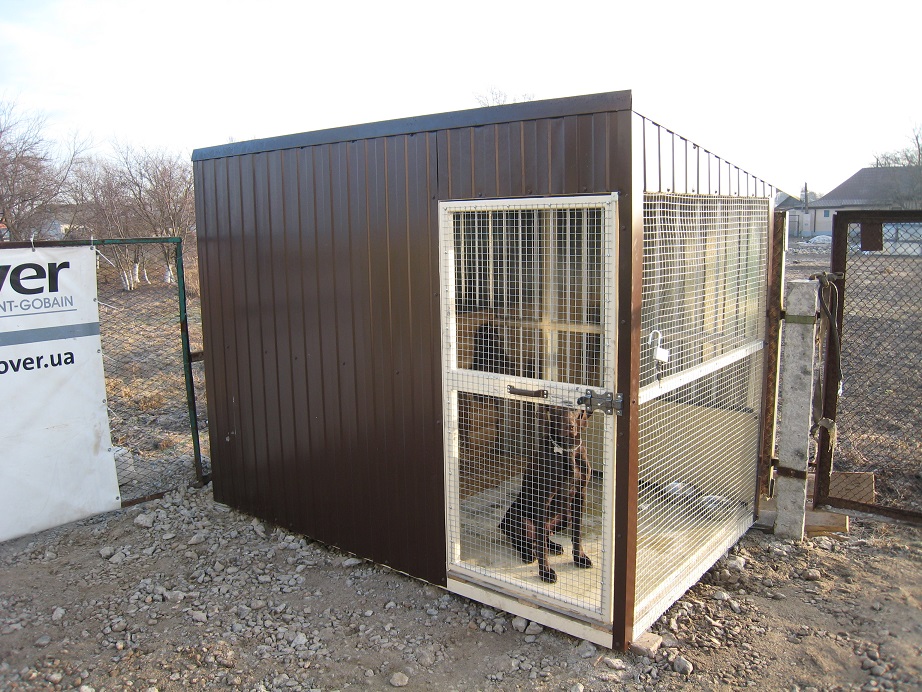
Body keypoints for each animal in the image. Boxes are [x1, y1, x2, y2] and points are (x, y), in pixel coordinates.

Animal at [499, 405, 593, 584]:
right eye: (557, 408)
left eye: (575, 409)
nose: (570, 427)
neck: (567, 451)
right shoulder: (543, 498)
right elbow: (541, 546)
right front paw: (546, 572)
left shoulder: (581, 494)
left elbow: (577, 533)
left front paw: (579, 557)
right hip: (518, 518)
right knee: (525, 541)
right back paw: (528, 553)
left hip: (565, 516)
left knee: (543, 536)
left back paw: (554, 546)